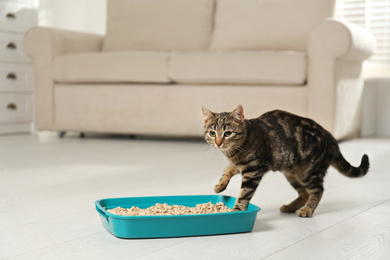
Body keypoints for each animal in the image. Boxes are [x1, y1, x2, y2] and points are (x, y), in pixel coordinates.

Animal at [203, 105, 370, 217]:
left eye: (227, 133)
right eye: (212, 133)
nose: (218, 143)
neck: (235, 152)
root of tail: (329, 135)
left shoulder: (253, 170)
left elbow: (244, 193)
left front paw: (237, 210)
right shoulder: (240, 166)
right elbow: (227, 169)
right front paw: (219, 185)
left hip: (310, 172)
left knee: (318, 190)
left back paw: (307, 209)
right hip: (292, 174)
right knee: (304, 194)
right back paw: (290, 207)